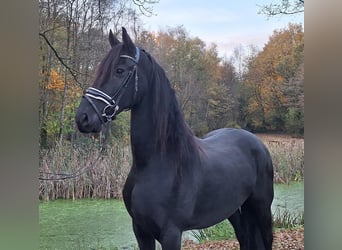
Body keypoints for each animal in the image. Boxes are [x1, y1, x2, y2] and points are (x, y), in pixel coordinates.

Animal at [76, 27, 274, 250]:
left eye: (119, 70)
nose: (83, 118)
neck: (159, 163)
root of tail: (255, 141)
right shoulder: (141, 231)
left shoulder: (171, 233)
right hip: (234, 210)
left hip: (262, 208)